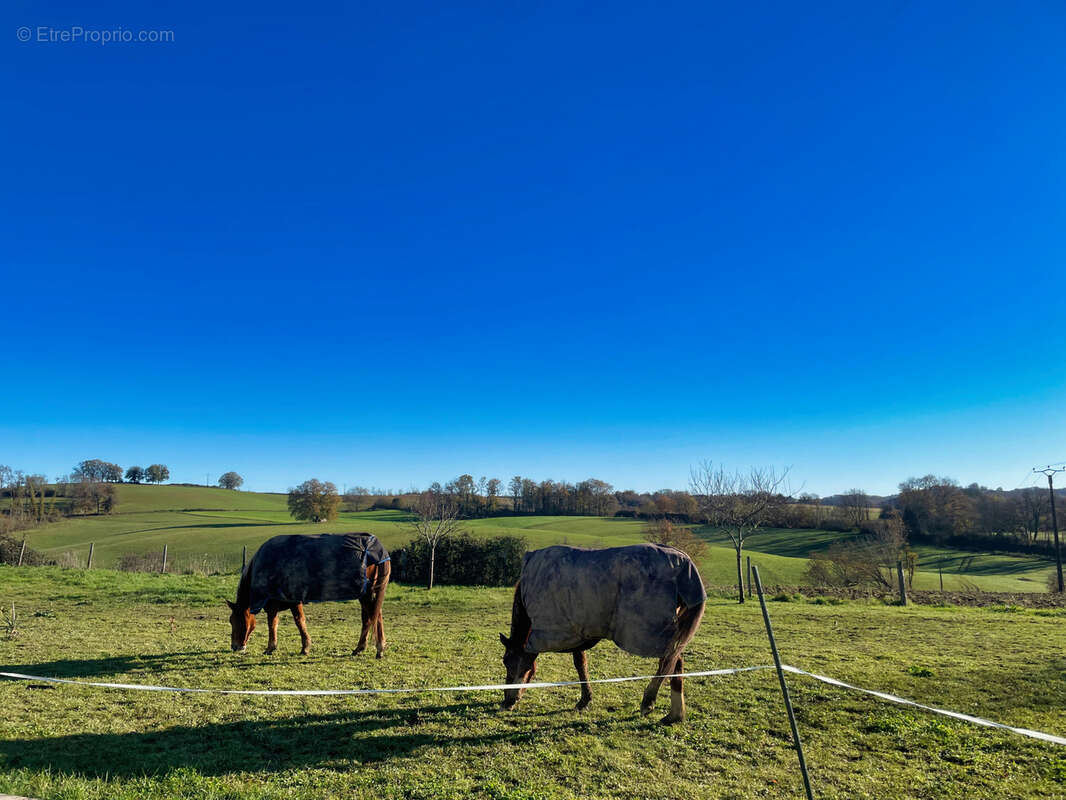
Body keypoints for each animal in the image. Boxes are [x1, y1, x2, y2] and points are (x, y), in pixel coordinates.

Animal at [228, 533, 392, 657]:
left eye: (234, 620)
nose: (235, 647)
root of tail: (375, 549)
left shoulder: (282, 600)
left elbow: (285, 622)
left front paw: (274, 647)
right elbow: (289, 621)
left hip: (367, 595)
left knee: (372, 618)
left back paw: (374, 648)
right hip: (367, 594)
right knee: (372, 617)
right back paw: (366, 648)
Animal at [496, 546, 703, 725]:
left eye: (507, 662)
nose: (506, 701)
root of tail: (685, 565)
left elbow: (535, 664)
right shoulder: (578, 632)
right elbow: (581, 665)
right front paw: (585, 700)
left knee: (669, 661)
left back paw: (649, 702)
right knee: (676, 661)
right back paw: (675, 715)